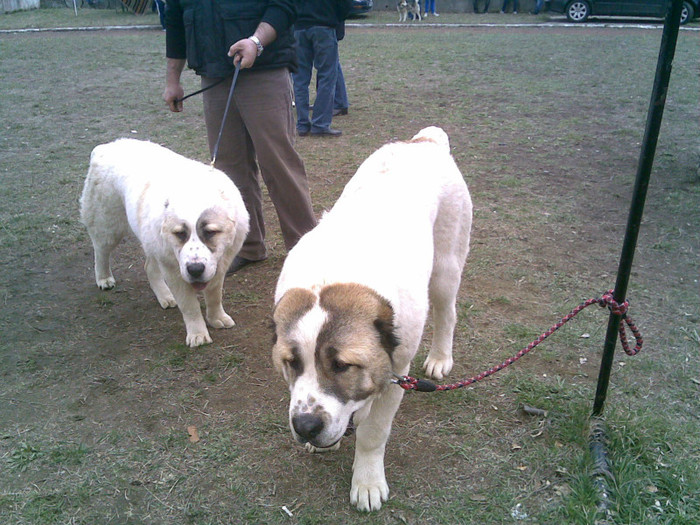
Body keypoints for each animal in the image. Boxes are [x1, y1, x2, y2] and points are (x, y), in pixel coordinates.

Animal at [80, 137, 249, 346]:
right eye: (180, 234)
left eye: (210, 232)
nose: (195, 270)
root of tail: (104, 147)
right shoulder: (174, 271)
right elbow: (189, 306)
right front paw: (197, 334)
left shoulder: (218, 265)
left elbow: (214, 295)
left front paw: (216, 317)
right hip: (109, 227)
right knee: (101, 251)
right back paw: (103, 278)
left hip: (153, 245)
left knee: (149, 267)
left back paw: (164, 296)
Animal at [270, 126, 474, 508]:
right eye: (292, 362)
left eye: (342, 366)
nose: (305, 427)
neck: (330, 275)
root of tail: (425, 141)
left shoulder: (398, 372)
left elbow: (374, 433)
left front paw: (366, 481)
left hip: (446, 267)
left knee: (447, 313)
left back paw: (440, 357)